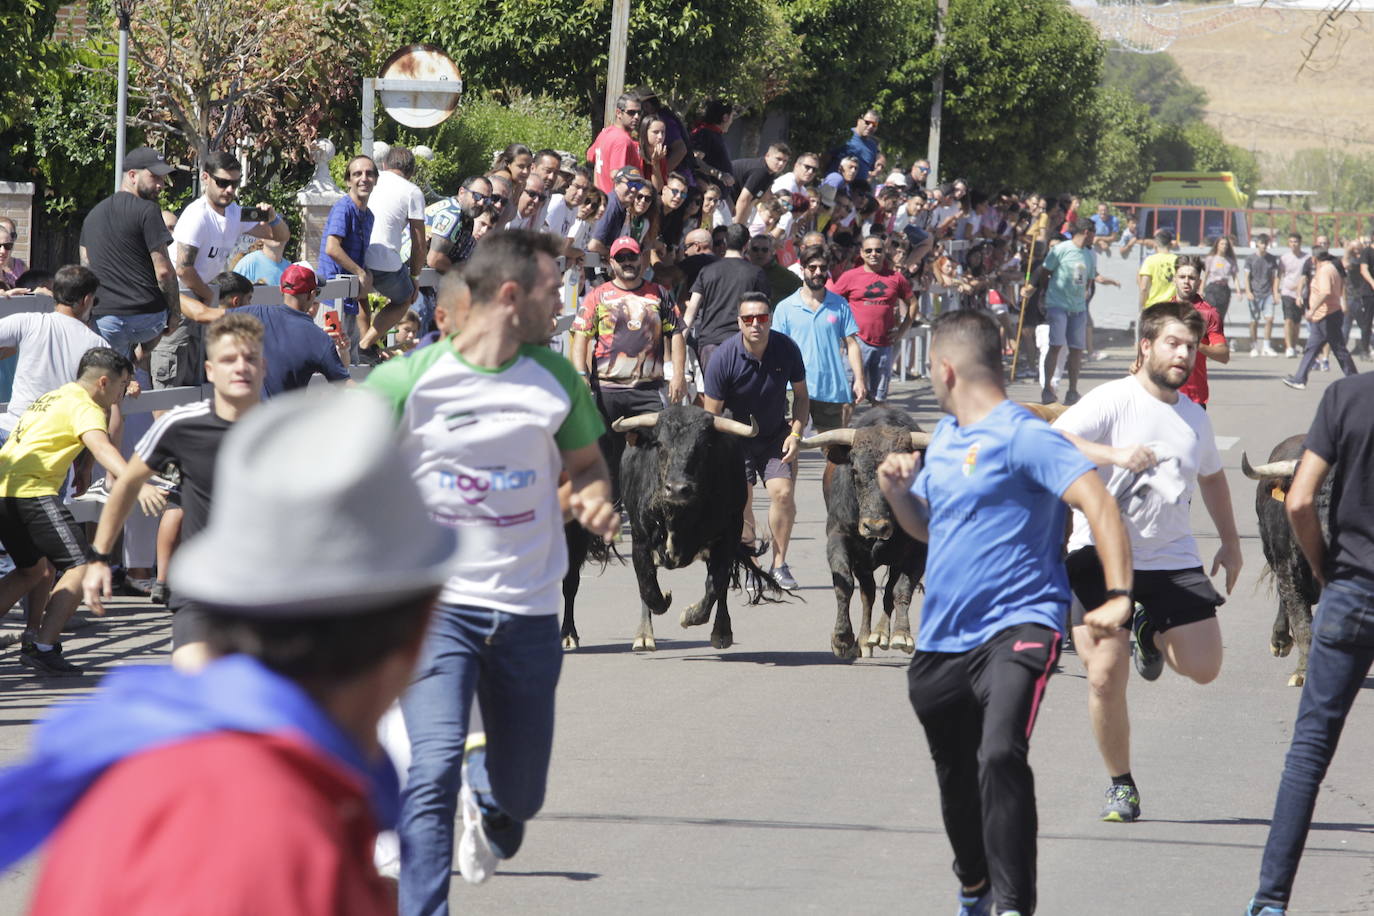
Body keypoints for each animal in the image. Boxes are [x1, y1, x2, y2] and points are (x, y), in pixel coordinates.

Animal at [802, 409, 928, 659]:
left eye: (904, 474)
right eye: (855, 471)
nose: (875, 527)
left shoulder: (918, 550)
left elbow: (901, 589)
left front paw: (902, 635)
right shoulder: (838, 538)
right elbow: (845, 585)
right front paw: (842, 638)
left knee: (887, 592)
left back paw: (878, 635)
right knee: (868, 593)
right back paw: (863, 640)